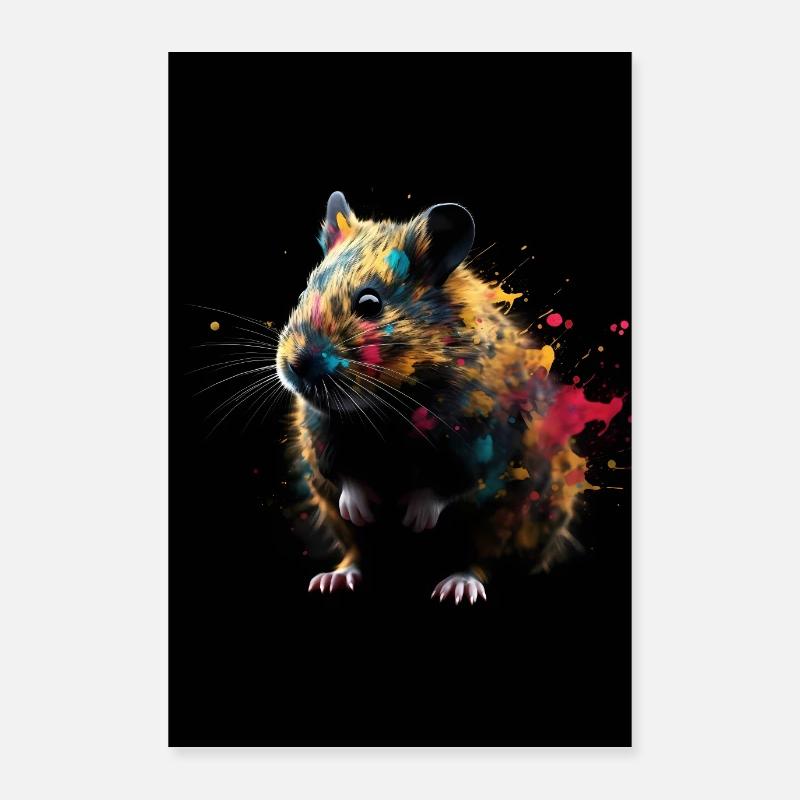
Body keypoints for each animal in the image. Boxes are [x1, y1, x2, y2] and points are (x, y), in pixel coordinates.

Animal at [276, 191, 623, 603]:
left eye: (370, 304)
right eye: (302, 293)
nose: (294, 366)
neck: (386, 405)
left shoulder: (479, 438)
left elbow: (450, 483)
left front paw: (415, 517)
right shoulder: (321, 431)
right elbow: (342, 474)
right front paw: (362, 507)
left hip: (508, 522)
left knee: (482, 560)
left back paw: (458, 585)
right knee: (358, 553)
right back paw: (336, 578)